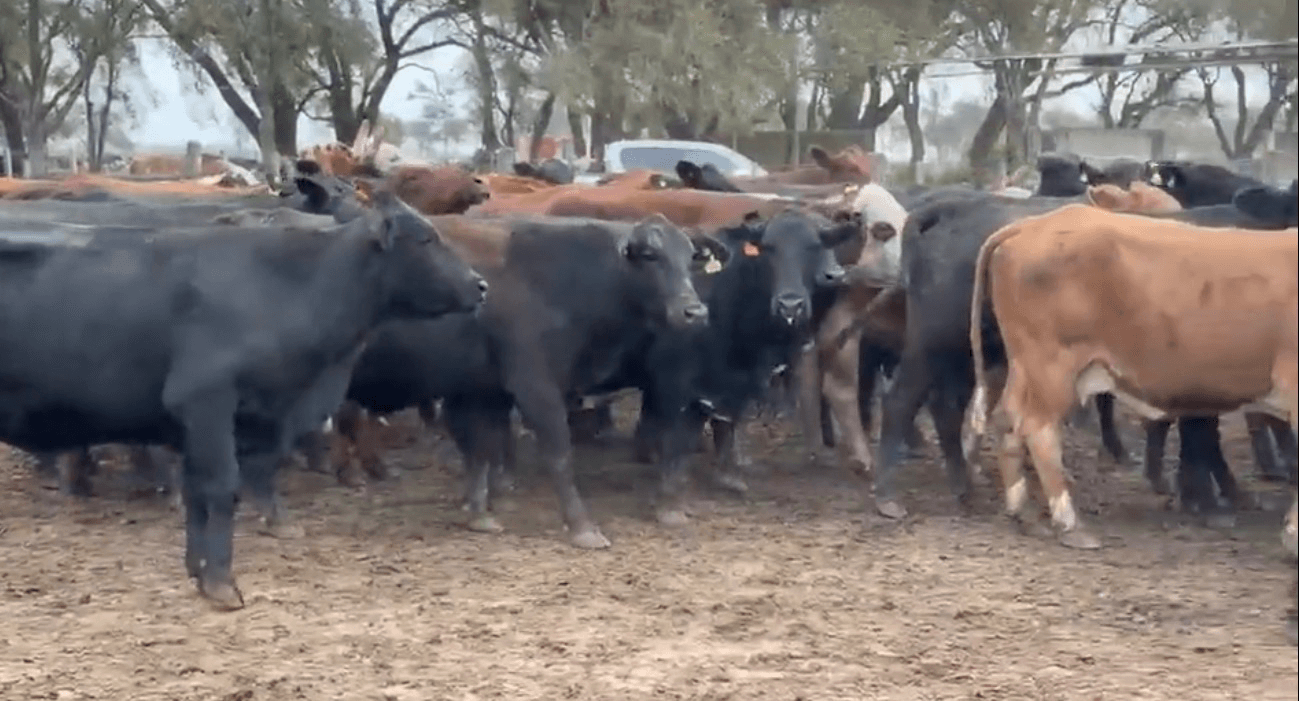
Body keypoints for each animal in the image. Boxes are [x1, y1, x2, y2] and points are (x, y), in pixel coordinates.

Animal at [0, 190, 487, 609]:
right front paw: (221, 583)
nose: (480, 285)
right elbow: (219, 489)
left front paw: (199, 572)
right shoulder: (206, 404)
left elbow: (198, 493)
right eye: (426, 239)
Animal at [964, 204, 1297, 549]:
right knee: (1039, 429)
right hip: (1051, 367)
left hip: (1026, 369)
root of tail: (1032, 225)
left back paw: (1023, 512)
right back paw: (1069, 523)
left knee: (1008, 422)